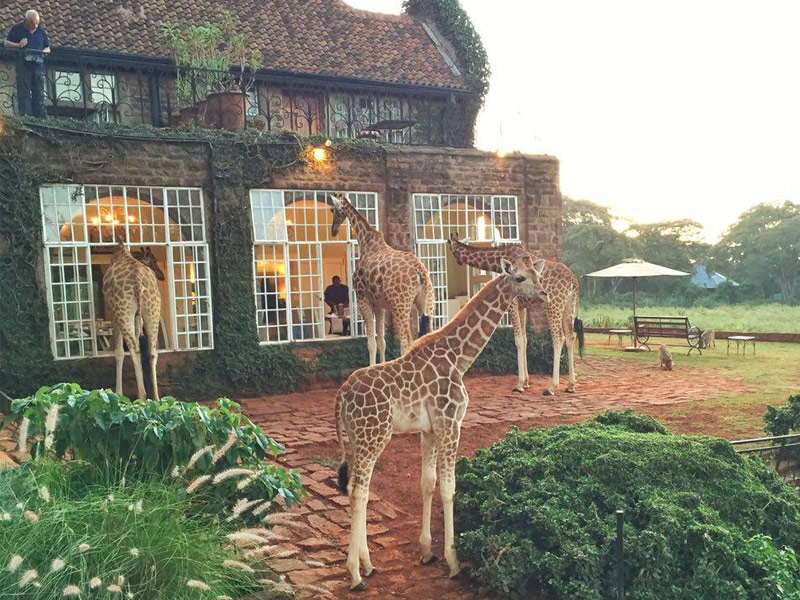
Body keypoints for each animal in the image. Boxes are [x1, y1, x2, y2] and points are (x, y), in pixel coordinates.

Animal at [104, 233, 165, 398]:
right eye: (154, 260)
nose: (162, 275)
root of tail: (137, 282)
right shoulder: (138, 317)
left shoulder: (113, 315)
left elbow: (119, 352)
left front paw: (118, 393)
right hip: (152, 309)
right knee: (152, 351)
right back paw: (156, 397)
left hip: (123, 311)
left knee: (134, 350)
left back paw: (142, 396)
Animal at [328, 197, 434, 364]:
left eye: (333, 210)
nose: (333, 230)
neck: (366, 243)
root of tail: (420, 272)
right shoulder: (380, 305)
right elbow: (381, 341)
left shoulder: (363, 300)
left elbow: (371, 343)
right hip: (425, 303)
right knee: (429, 334)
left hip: (400, 305)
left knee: (407, 341)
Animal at [332, 253, 552, 592]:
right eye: (520, 278)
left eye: (537, 274)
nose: (543, 294)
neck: (458, 358)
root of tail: (341, 396)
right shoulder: (452, 424)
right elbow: (450, 488)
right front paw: (453, 561)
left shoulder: (429, 430)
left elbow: (428, 483)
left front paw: (426, 551)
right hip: (374, 436)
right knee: (358, 491)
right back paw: (355, 574)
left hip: (358, 440)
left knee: (361, 490)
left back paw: (367, 565)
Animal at [446, 236, 584, 398]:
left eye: (451, 249)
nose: (457, 262)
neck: (497, 260)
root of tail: (573, 282)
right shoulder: (521, 306)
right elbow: (524, 339)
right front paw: (526, 382)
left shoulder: (512, 302)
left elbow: (518, 340)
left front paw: (519, 385)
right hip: (568, 306)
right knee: (570, 338)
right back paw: (571, 385)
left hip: (553, 305)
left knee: (558, 338)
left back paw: (552, 387)